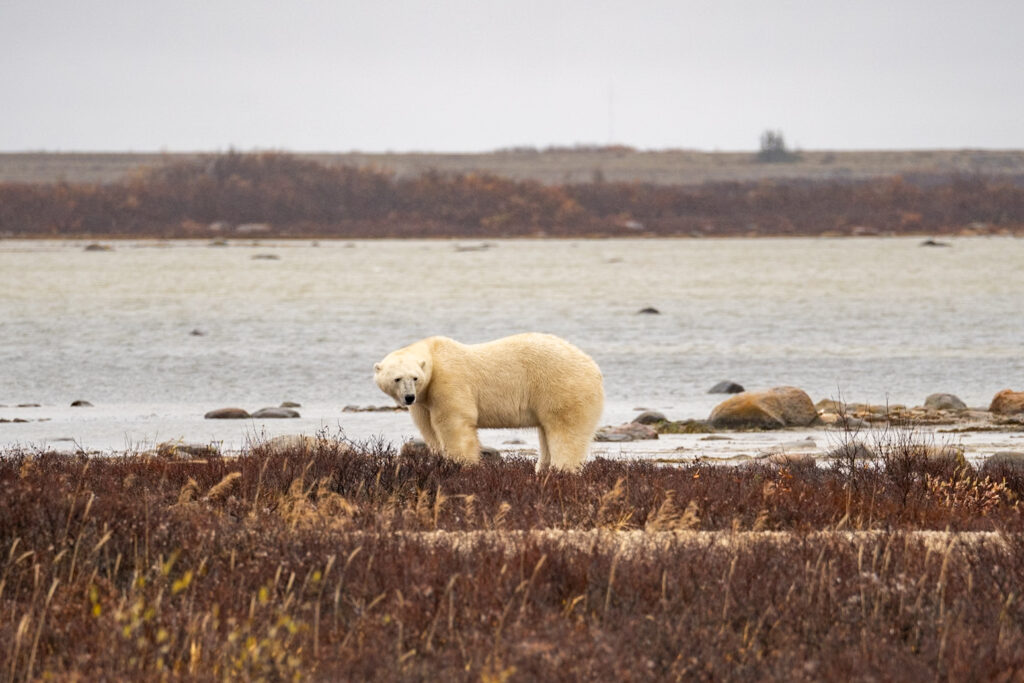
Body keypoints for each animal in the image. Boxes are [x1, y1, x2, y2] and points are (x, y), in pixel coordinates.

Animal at [374, 333, 598, 473]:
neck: (434, 353)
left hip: (561, 388)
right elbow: (429, 430)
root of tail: (593, 366)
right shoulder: (424, 401)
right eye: (397, 378)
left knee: (566, 432)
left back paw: (562, 470)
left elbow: (454, 423)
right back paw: (542, 470)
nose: (408, 397)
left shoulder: (449, 381)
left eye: (414, 377)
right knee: (546, 432)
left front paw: (461, 464)